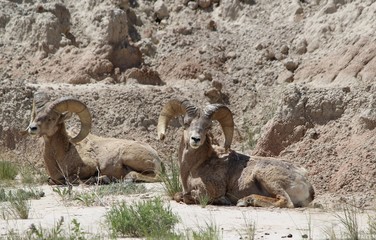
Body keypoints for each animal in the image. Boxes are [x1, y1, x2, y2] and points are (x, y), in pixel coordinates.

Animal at [26, 94, 162, 184]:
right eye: (36, 115)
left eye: (51, 118)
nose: (32, 128)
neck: (63, 154)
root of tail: (156, 156)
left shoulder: (90, 167)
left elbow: (72, 178)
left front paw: (100, 178)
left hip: (129, 156)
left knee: (155, 176)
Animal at [157, 99, 316, 208]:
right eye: (186, 123)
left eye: (207, 127)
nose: (195, 139)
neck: (193, 168)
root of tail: (307, 183)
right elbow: (178, 195)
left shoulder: (210, 190)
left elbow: (186, 197)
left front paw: (223, 200)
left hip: (266, 176)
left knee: (285, 202)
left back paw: (245, 200)